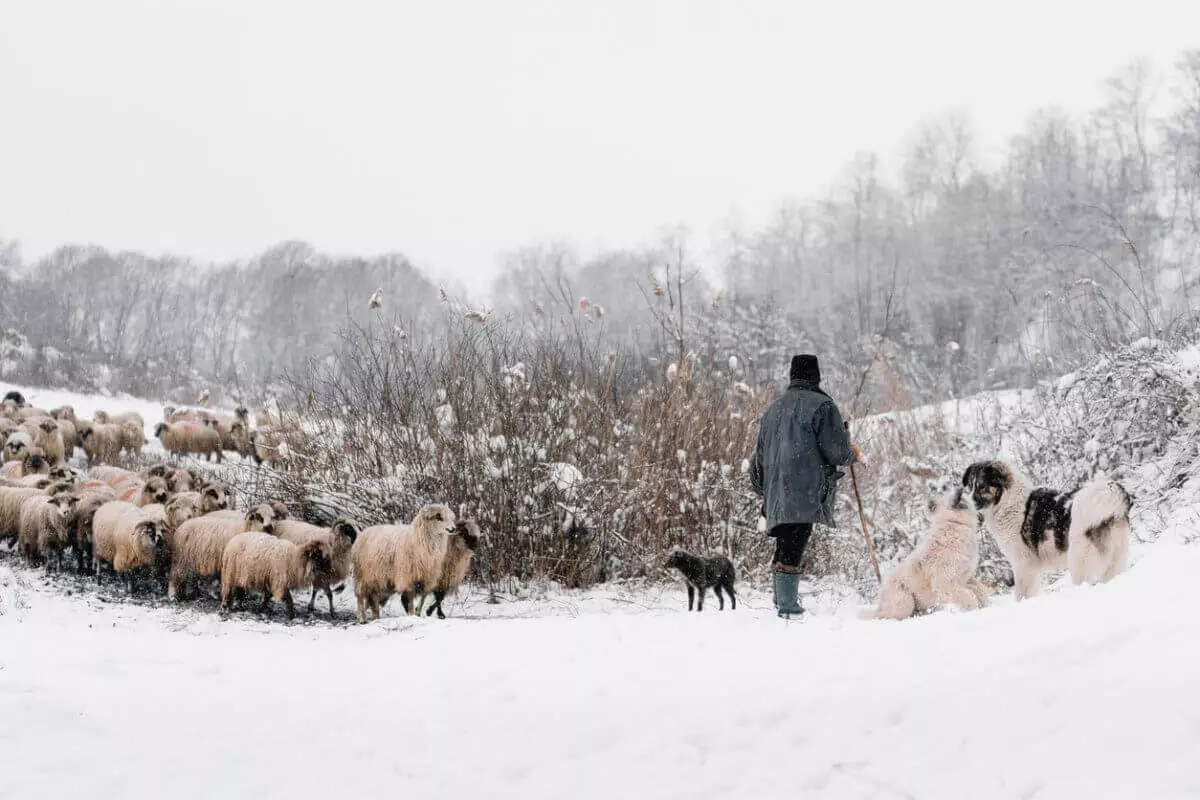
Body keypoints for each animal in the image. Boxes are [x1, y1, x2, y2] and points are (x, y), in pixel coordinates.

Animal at [868, 484, 988, 623]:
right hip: (905, 601)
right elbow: (967, 596)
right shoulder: (944, 582)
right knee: (889, 616)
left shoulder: (965, 577)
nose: (959, 490)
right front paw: (973, 610)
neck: (953, 523)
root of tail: (880, 603)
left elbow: (979, 589)